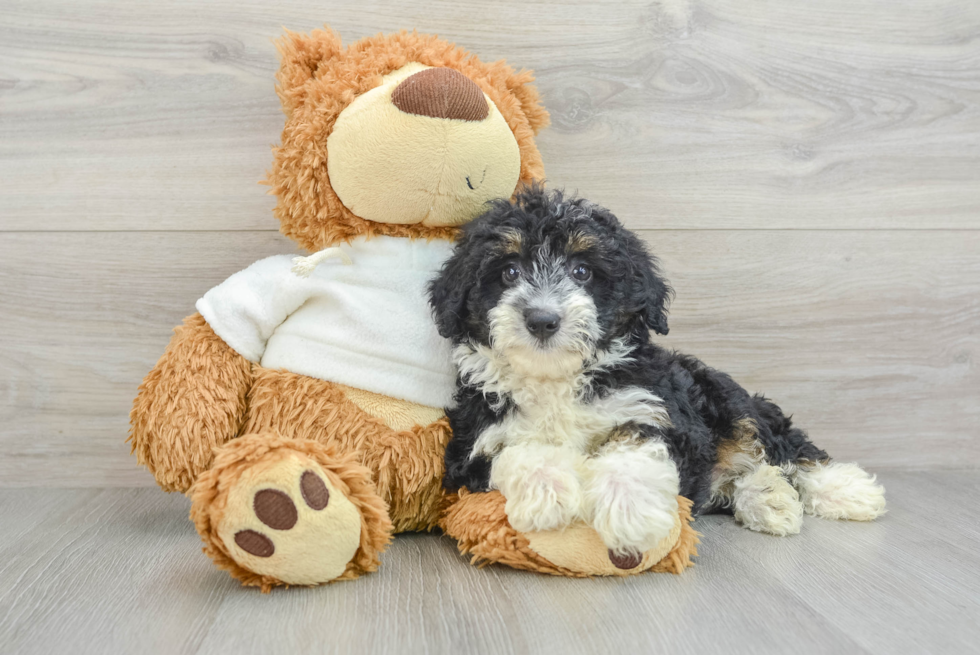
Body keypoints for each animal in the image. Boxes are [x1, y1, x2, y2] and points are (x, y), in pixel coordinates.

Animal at [428, 187, 888, 560]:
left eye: (582, 271)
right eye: (508, 272)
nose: (542, 319)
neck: (557, 379)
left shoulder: (657, 411)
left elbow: (634, 446)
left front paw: (629, 508)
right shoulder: (473, 442)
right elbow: (516, 450)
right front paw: (549, 491)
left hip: (723, 396)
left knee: (782, 445)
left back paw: (847, 490)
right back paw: (769, 498)